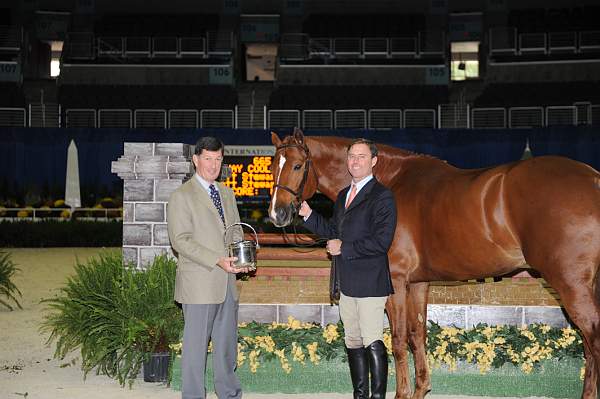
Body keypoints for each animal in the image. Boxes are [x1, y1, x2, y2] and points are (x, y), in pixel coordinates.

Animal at [270, 130, 600, 398]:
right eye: (273, 167)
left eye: (298, 166)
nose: (278, 214)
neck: (390, 182)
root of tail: (592, 177)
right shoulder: (418, 284)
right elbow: (417, 336)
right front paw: (420, 390)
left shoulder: (395, 282)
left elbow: (398, 340)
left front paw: (401, 393)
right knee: (587, 343)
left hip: (570, 284)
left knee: (593, 338)